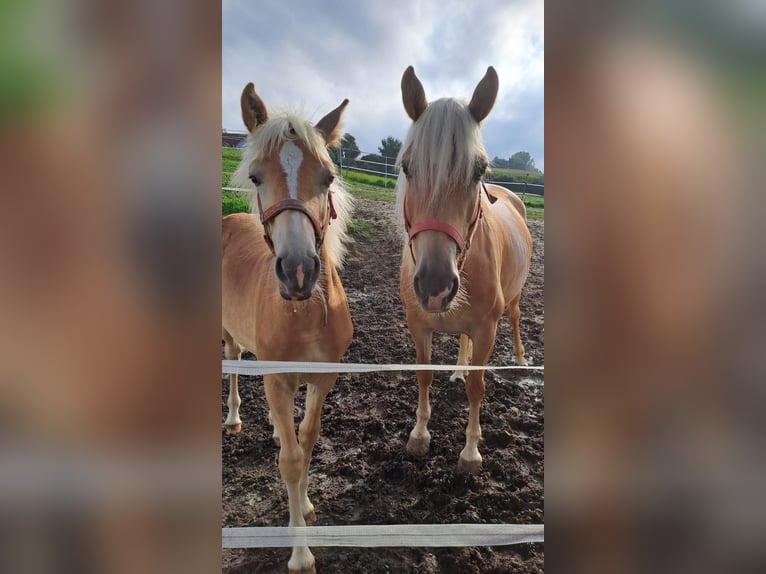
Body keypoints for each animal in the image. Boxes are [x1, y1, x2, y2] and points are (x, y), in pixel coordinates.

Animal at [222, 82, 354, 574]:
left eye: (328, 178)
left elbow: (306, 441)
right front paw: (300, 554)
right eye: (256, 177)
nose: (298, 272)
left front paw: (309, 504)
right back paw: (234, 417)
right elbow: (291, 461)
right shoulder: (277, 376)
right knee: (235, 365)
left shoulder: (321, 378)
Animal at [396, 65, 536, 474]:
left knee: (516, 319)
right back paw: (458, 368)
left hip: (515, 298)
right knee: (461, 341)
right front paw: (419, 435)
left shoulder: (487, 329)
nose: (435, 285)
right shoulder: (419, 324)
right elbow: (424, 374)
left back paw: (520, 359)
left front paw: (471, 452)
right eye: (407, 167)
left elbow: (478, 388)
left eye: (479, 171)